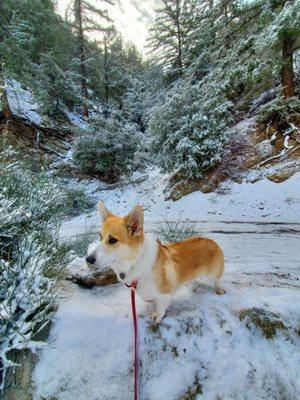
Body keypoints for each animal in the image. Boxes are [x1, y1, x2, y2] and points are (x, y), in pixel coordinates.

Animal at [86, 202, 225, 324]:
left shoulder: (165, 294)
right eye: (100, 237)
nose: (88, 259)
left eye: (112, 240)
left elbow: (160, 307)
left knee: (217, 279)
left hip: (214, 272)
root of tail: (210, 240)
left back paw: (219, 288)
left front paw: (158, 317)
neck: (136, 262)